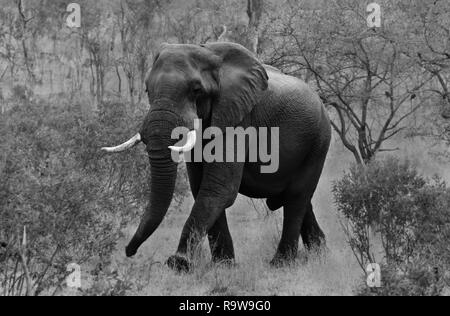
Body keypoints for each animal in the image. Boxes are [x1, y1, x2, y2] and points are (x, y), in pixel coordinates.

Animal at [103, 40, 332, 270]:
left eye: (196, 90)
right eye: (147, 89)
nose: (129, 251)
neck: (210, 54)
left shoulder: (238, 118)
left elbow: (219, 187)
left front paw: (179, 263)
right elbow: (202, 187)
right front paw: (223, 266)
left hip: (318, 142)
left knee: (296, 197)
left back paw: (281, 263)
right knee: (296, 199)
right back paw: (320, 254)